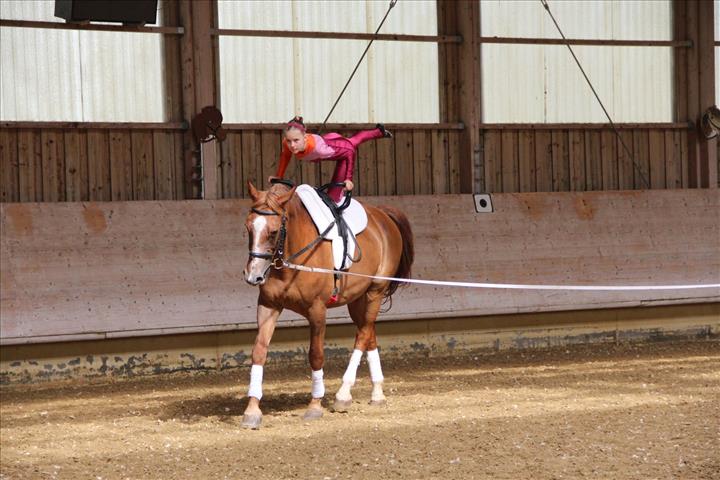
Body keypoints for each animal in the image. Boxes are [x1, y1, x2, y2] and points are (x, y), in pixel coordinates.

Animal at [240, 181, 414, 429]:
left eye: (273, 232)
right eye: (248, 228)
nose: (253, 275)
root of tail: (383, 214)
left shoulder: (317, 310)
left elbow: (316, 355)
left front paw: (315, 405)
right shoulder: (268, 305)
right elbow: (259, 352)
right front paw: (252, 410)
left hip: (375, 291)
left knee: (363, 335)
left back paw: (343, 394)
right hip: (357, 299)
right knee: (368, 332)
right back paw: (377, 393)